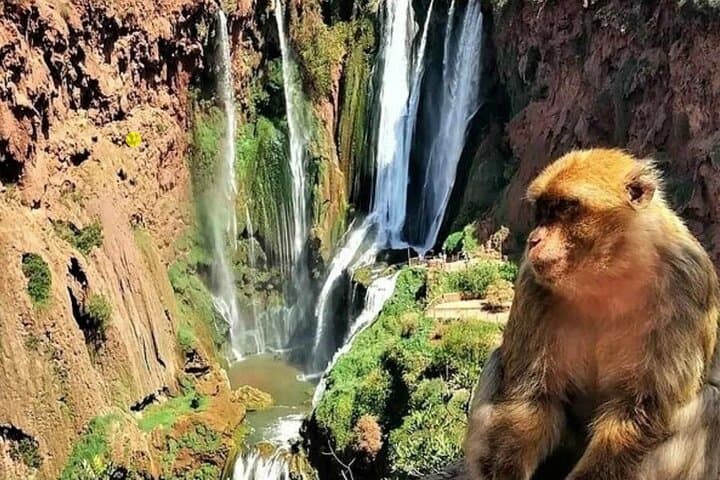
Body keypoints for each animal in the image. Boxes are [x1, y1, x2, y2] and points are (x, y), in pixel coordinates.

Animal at [463, 149, 720, 480]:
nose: (533, 240)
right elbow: (532, 397)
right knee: (499, 361)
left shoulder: (685, 284)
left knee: (710, 404)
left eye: (565, 208)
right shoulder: (532, 282)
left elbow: (640, 409)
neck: (609, 274)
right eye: (543, 211)